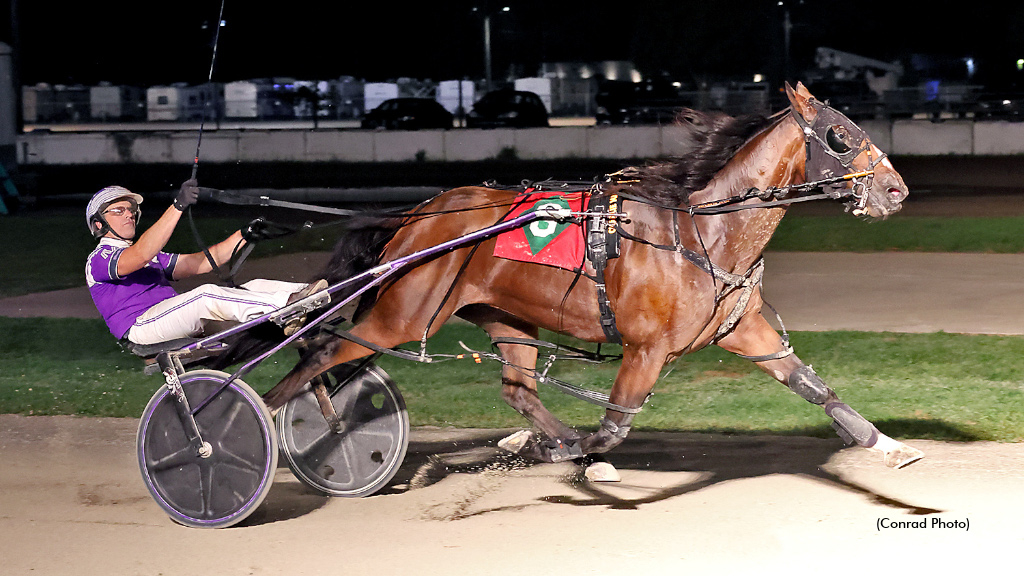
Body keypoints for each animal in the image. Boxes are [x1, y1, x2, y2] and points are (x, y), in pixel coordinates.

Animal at [258, 80, 929, 475]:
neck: (700, 235)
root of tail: (418, 215)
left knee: (517, 387)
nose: (896, 189)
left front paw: (889, 445)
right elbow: (613, 428)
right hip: (402, 313)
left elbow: (817, 389)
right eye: (841, 135)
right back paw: (259, 419)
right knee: (321, 352)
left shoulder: (744, 331)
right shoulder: (646, 348)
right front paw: (577, 452)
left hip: (506, 317)